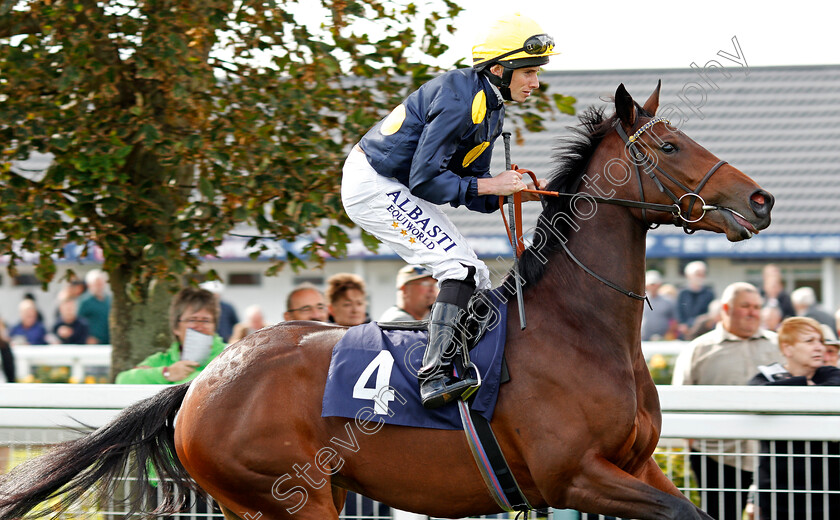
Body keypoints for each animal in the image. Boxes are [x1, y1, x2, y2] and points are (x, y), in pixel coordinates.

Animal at [0, 83, 776, 520]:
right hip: (289, 498)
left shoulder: (635, 465)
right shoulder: (578, 476)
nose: (761, 200)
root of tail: (199, 382)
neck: (578, 330)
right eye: (670, 146)